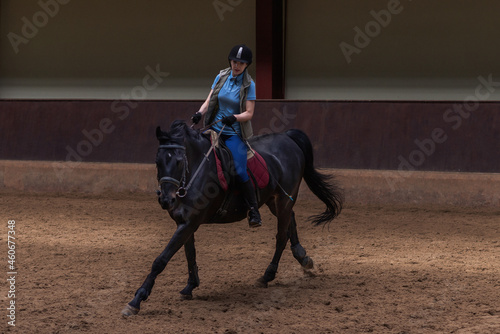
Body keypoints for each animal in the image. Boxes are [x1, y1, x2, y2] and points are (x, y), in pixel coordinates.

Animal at [120, 120, 344, 316]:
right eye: (157, 162)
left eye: (178, 161)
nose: (167, 200)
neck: (195, 171)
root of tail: (287, 137)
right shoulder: (184, 223)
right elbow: (190, 253)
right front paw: (190, 287)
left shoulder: (189, 222)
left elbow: (161, 260)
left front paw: (136, 301)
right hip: (275, 199)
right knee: (291, 221)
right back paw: (303, 257)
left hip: (284, 199)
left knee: (281, 236)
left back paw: (267, 275)